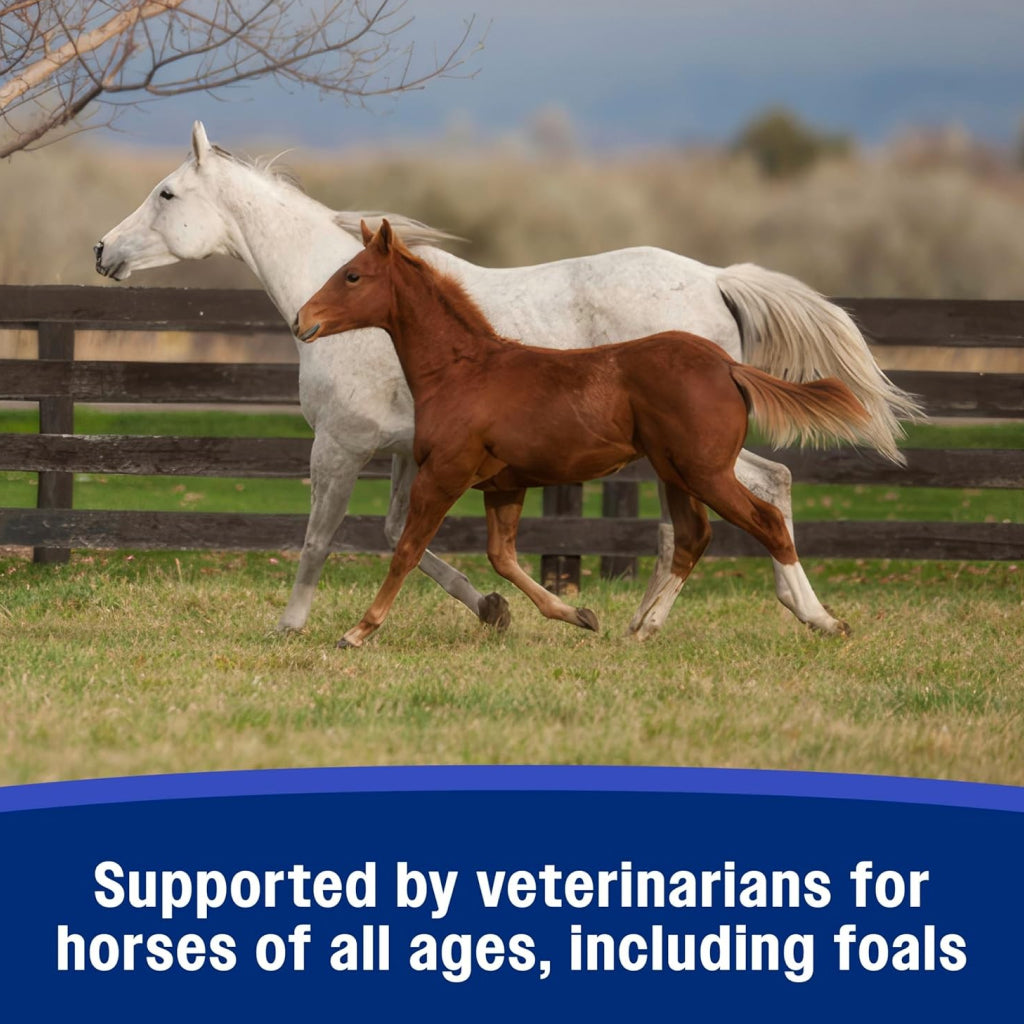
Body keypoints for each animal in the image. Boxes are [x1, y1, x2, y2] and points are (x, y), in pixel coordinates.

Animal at [294, 220, 873, 648]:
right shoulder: (505, 485)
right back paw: (642, 628)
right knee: (692, 537)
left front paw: (357, 631)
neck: (464, 371)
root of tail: (727, 366)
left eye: (352, 275)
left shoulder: (445, 474)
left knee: (766, 521)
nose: (303, 320)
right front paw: (577, 615)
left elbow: (409, 549)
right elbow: (502, 557)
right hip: (677, 474)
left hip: (705, 471)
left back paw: (823, 620)